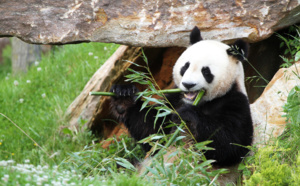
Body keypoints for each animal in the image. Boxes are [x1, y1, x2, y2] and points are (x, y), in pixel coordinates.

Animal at [110, 26, 253, 167]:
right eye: (185, 66)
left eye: (206, 71)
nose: (188, 84)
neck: (201, 102)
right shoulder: (174, 100)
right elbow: (152, 131)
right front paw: (123, 96)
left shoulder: (235, 102)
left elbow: (230, 145)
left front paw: (188, 115)